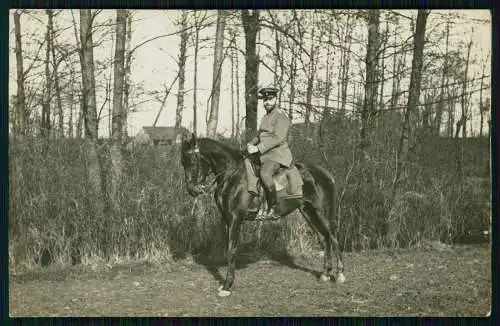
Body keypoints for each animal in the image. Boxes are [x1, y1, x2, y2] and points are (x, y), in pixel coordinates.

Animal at [182, 134, 346, 296]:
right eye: (183, 163)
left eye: (192, 161)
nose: (191, 190)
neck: (232, 175)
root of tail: (324, 173)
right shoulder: (228, 220)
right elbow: (228, 248)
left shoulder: (236, 218)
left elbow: (231, 251)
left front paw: (227, 286)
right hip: (308, 212)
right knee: (324, 238)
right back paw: (325, 274)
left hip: (323, 212)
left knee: (334, 238)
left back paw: (340, 275)